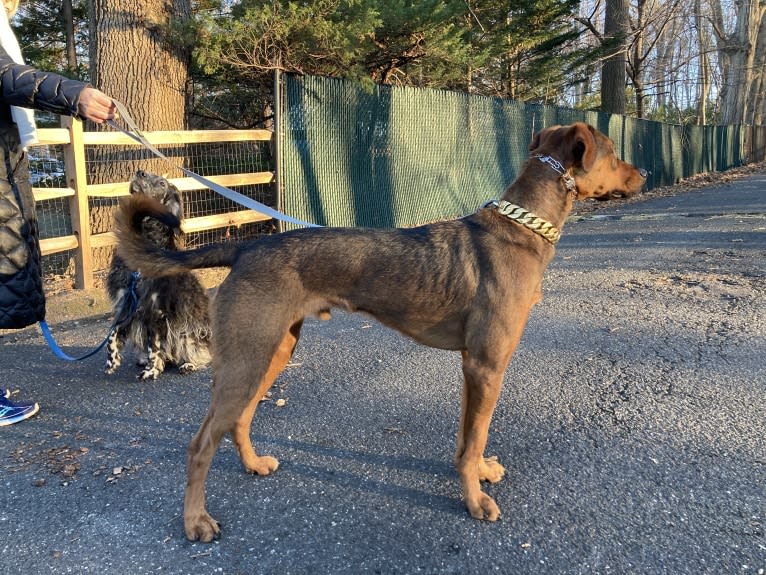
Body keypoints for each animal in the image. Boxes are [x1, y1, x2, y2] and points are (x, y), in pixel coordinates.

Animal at [115, 122, 648, 544]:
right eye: (613, 151)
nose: (642, 173)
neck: (521, 230)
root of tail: (247, 247)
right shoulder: (486, 365)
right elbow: (474, 438)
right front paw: (474, 500)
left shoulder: (476, 369)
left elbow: (470, 439)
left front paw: (479, 474)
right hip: (247, 359)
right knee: (201, 444)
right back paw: (195, 522)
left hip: (273, 351)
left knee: (240, 420)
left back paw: (253, 464)